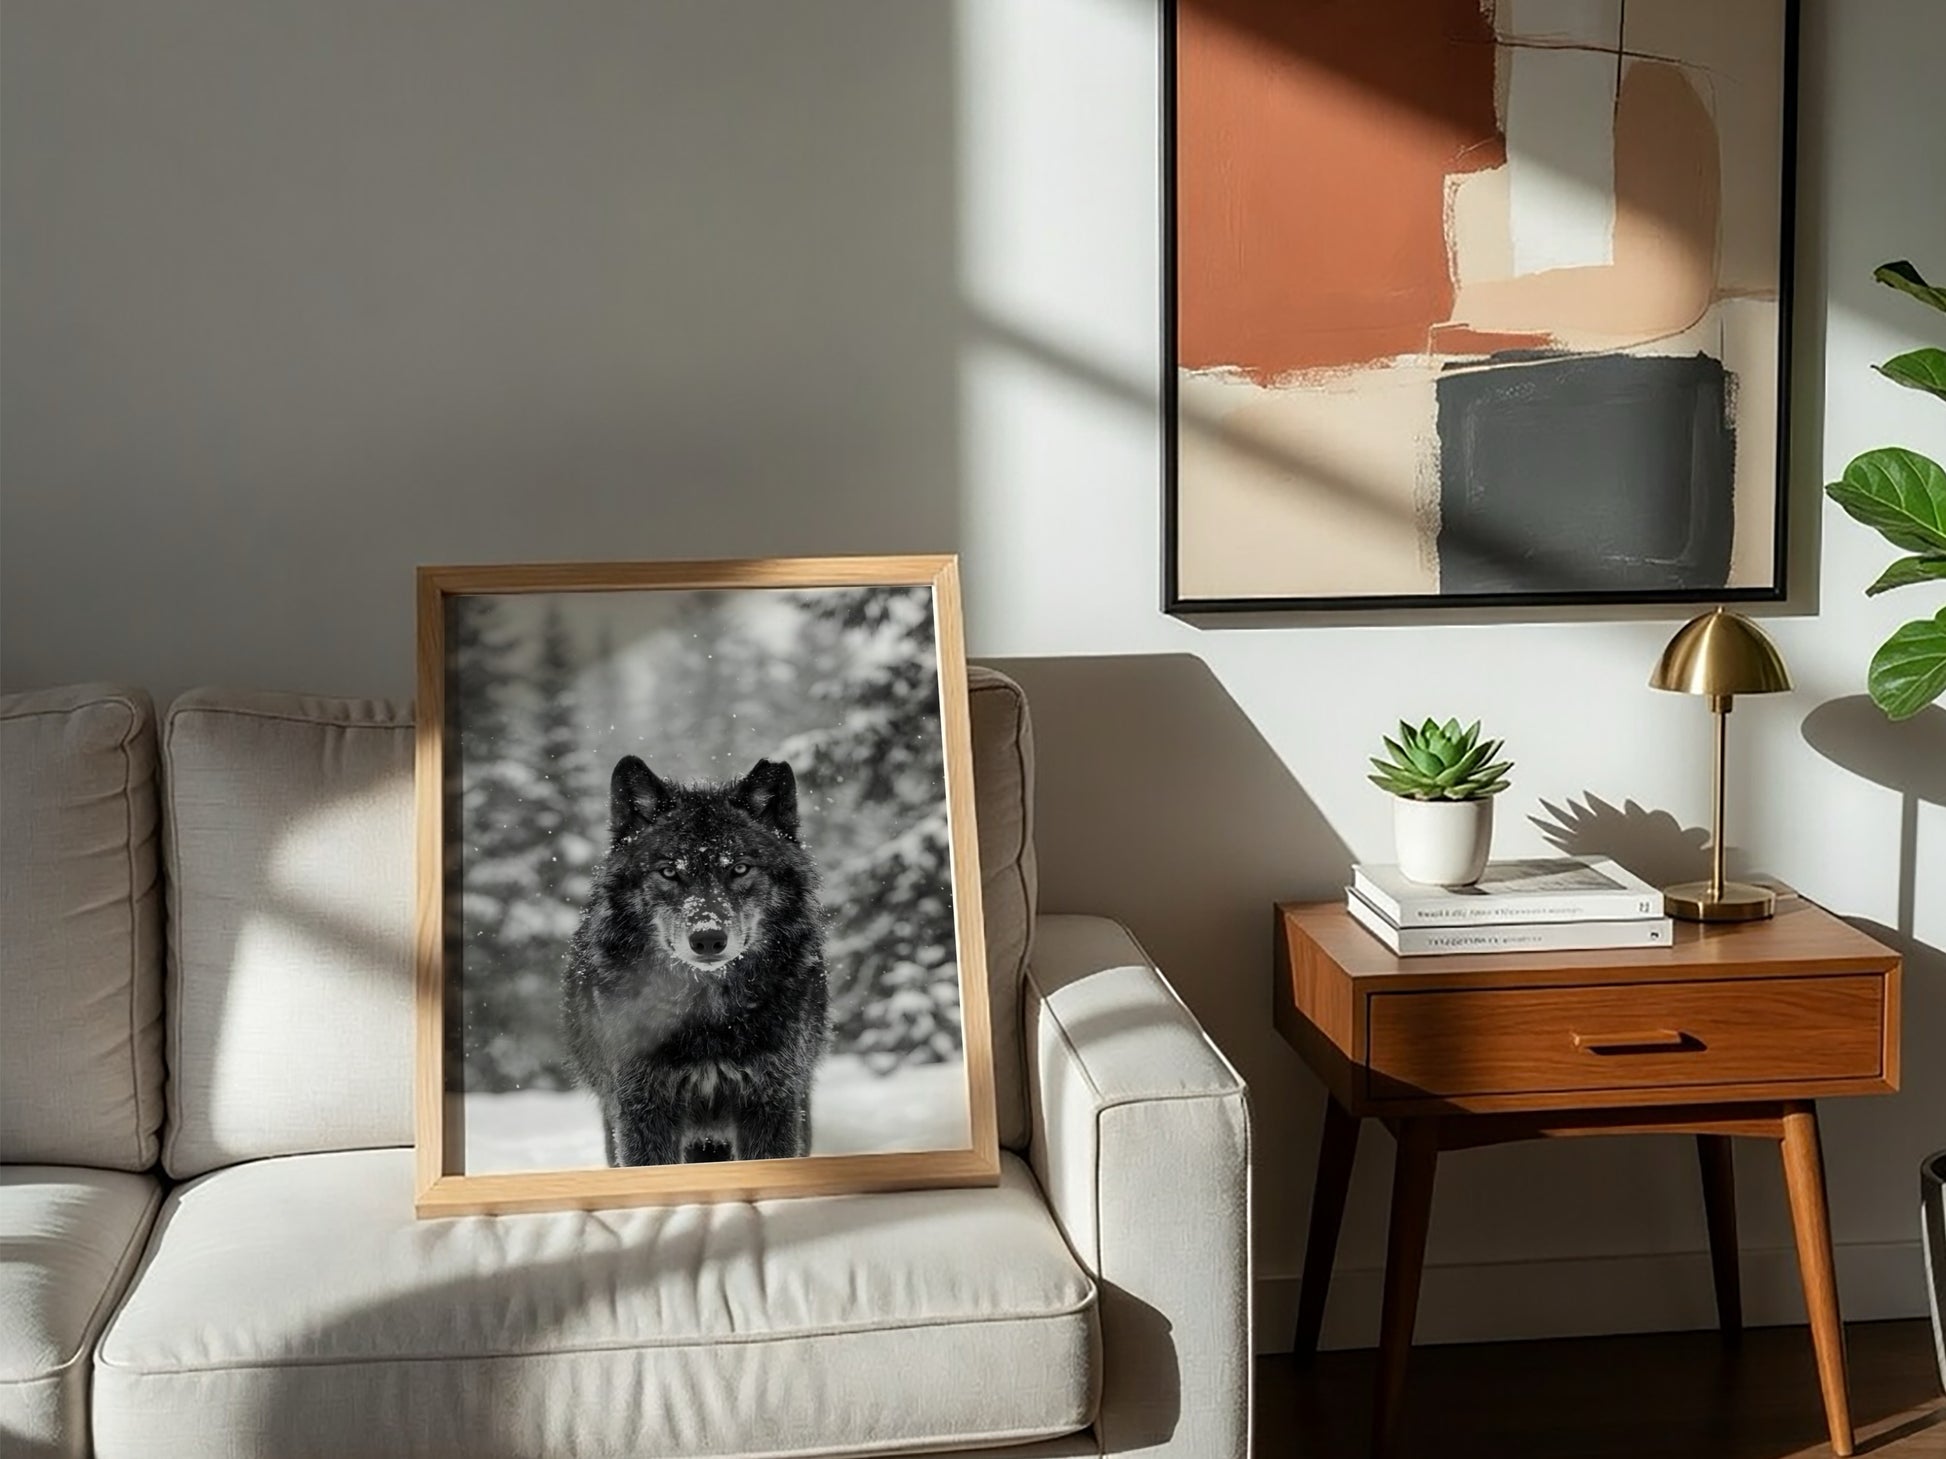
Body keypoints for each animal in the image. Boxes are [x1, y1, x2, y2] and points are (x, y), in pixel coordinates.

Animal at [563, 754, 828, 1166]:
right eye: (670, 871)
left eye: (739, 868)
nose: (707, 939)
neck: (707, 1015)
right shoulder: (641, 1107)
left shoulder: (773, 1102)